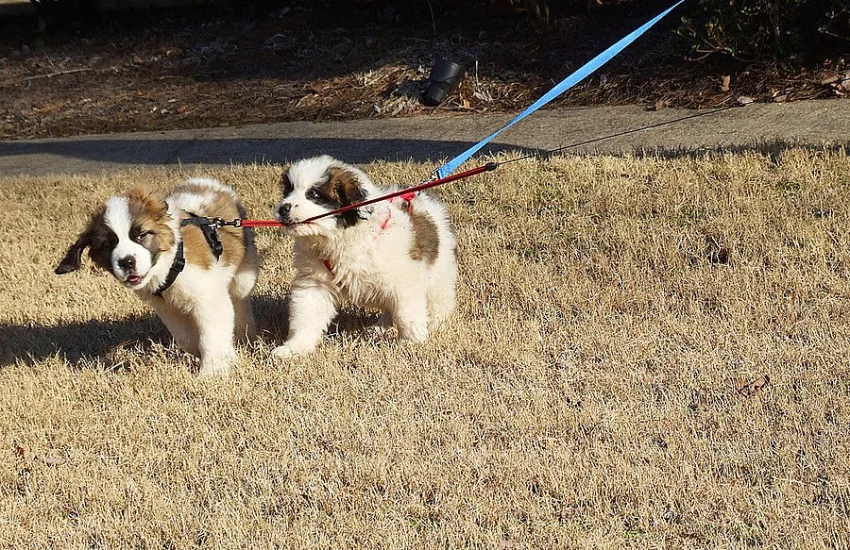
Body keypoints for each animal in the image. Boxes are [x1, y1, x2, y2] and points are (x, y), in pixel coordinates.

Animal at [55, 179, 258, 378]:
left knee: (239, 300)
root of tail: (209, 183)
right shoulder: (167, 308)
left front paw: (213, 371)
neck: (168, 264)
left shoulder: (209, 298)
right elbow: (186, 338)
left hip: (243, 275)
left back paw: (244, 334)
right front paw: (214, 355)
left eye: (141, 235)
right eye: (108, 245)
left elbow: (211, 334)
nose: (126, 262)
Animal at [272, 157, 458, 360]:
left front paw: (412, 342)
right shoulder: (314, 282)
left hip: (440, 269)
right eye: (288, 190)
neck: (341, 238)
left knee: (440, 299)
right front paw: (295, 347)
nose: (283, 209)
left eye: (313, 194)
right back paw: (381, 326)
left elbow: (407, 313)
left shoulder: (404, 281)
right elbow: (306, 313)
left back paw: (435, 322)